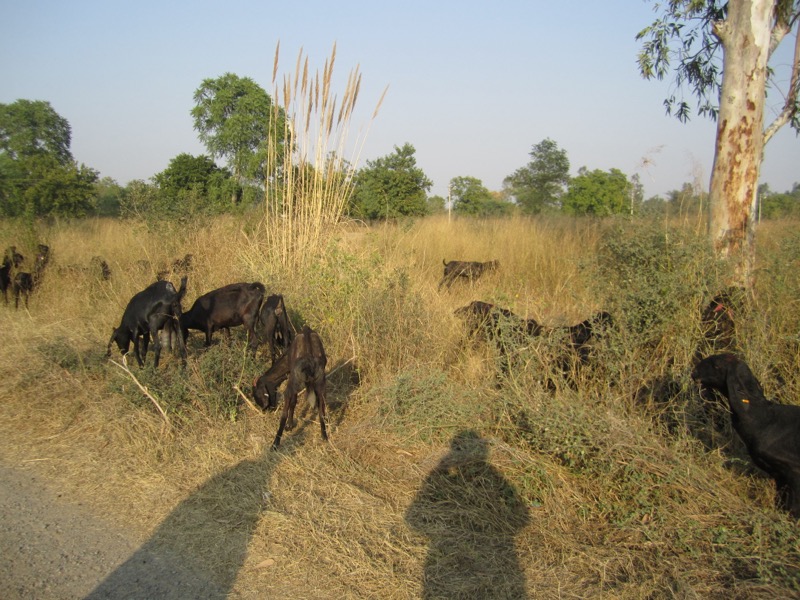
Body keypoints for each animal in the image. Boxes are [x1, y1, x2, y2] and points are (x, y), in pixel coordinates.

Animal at [692, 353, 800, 518]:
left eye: (716, 365)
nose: (694, 373)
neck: (762, 420)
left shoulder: (794, 471)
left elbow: (793, 509)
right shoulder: (780, 477)